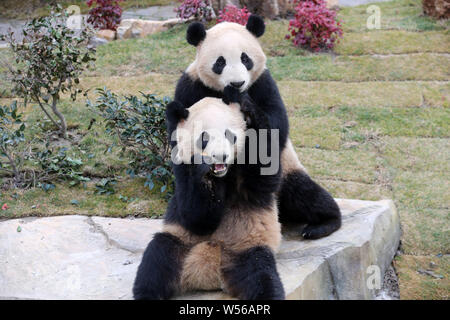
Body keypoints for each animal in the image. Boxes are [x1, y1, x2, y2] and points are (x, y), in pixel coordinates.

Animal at [132, 97, 284, 300]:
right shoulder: (182, 171)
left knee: (261, 276)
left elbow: (264, 178)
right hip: (181, 245)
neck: (222, 175)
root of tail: (208, 277)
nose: (220, 156)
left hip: (245, 250)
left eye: (229, 134)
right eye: (204, 138)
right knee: (156, 262)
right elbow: (196, 217)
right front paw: (203, 173)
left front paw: (250, 112)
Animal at [173, 15, 342, 240]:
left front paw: (246, 105)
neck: (223, 92)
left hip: (287, 169)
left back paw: (323, 223)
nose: (237, 83)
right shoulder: (191, 87)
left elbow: (278, 124)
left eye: (245, 59)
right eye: (220, 62)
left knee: (303, 193)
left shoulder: (263, 83)